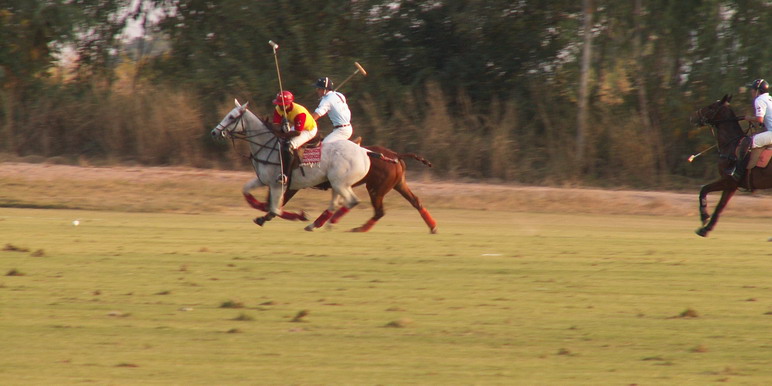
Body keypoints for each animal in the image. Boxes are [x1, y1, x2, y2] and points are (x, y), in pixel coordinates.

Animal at [210, 101, 370, 231]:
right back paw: (315, 225)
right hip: (336, 184)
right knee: (336, 204)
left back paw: (331, 223)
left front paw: (297, 215)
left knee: (352, 201)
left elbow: (275, 209)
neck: (266, 146)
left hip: (340, 183)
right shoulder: (263, 180)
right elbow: (247, 192)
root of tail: (364, 152)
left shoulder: (278, 184)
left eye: (231, 117)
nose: (214, 132)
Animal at [244, 143, 438, 231]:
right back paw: (433, 227)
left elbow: (275, 203)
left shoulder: (291, 184)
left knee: (379, 211)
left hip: (375, 189)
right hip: (398, 184)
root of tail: (396, 155)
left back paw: (354, 228)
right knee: (416, 201)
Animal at [692, 94, 768, 237]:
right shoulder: (731, 185)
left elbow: (710, 196)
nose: (693, 117)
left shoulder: (729, 181)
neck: (731, 144)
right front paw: (705, 224)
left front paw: (705, 221)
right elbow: (713, 199)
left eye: (711, 107)